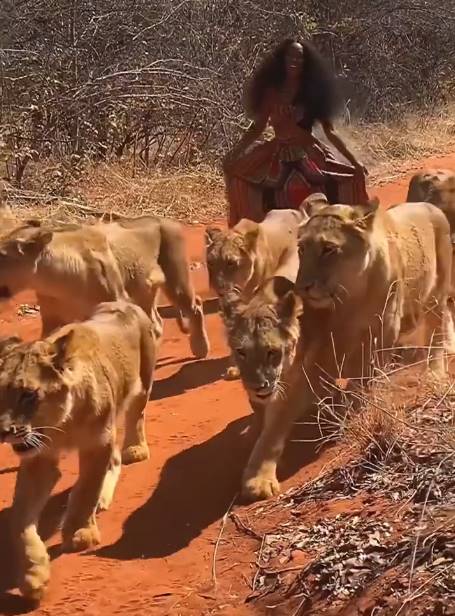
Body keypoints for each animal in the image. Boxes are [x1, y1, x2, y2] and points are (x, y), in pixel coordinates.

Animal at [0, 215, 210, 356]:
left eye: (1, 255)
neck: (54, 281)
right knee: (156, 322)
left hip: (176, 282)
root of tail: (163, 218)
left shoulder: (117, 304)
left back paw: (200, 348)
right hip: (145, 292)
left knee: (196, 306)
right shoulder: (53, 319)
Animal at [0, 300, 159, 604]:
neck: (61, 426)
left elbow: (86, 487)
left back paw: (135, 450)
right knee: (114, 459)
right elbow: (19, 519)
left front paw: (80, 532)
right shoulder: (39, 459)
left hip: (142, 386)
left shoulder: (97, 443)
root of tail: (122, 302)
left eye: (28, 395)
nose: (2, 430)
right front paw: (33, 575)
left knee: (136, 419)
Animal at [244, 192, 455, 500]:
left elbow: (362, 381)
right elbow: (280, 414)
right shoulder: (316, 354)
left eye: (329, 249)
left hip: (435, 296)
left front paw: (352, 413)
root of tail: (429, 206)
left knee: (436, 331)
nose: (303, 287)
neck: (349, 299)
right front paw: (257, 479)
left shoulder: (380, 335)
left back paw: (436, 373)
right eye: (302, 248)